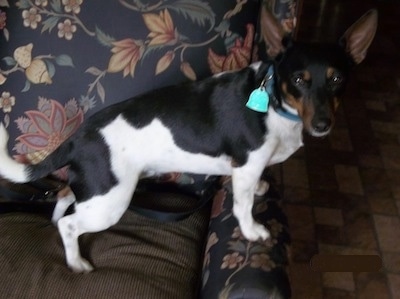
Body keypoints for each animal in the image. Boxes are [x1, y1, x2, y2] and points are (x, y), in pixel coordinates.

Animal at [0, 8, 378, 274]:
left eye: (337, 79)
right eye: (299, 80)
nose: (323, 124)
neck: (274, 101)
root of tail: (78, 136)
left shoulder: (246, 168)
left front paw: (260, 190)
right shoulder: (247, 165)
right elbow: (242, 206)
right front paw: (253, 230)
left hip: (95, 189)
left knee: (64, 194)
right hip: (110, 201)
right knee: (70, 224)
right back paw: (75, 261)